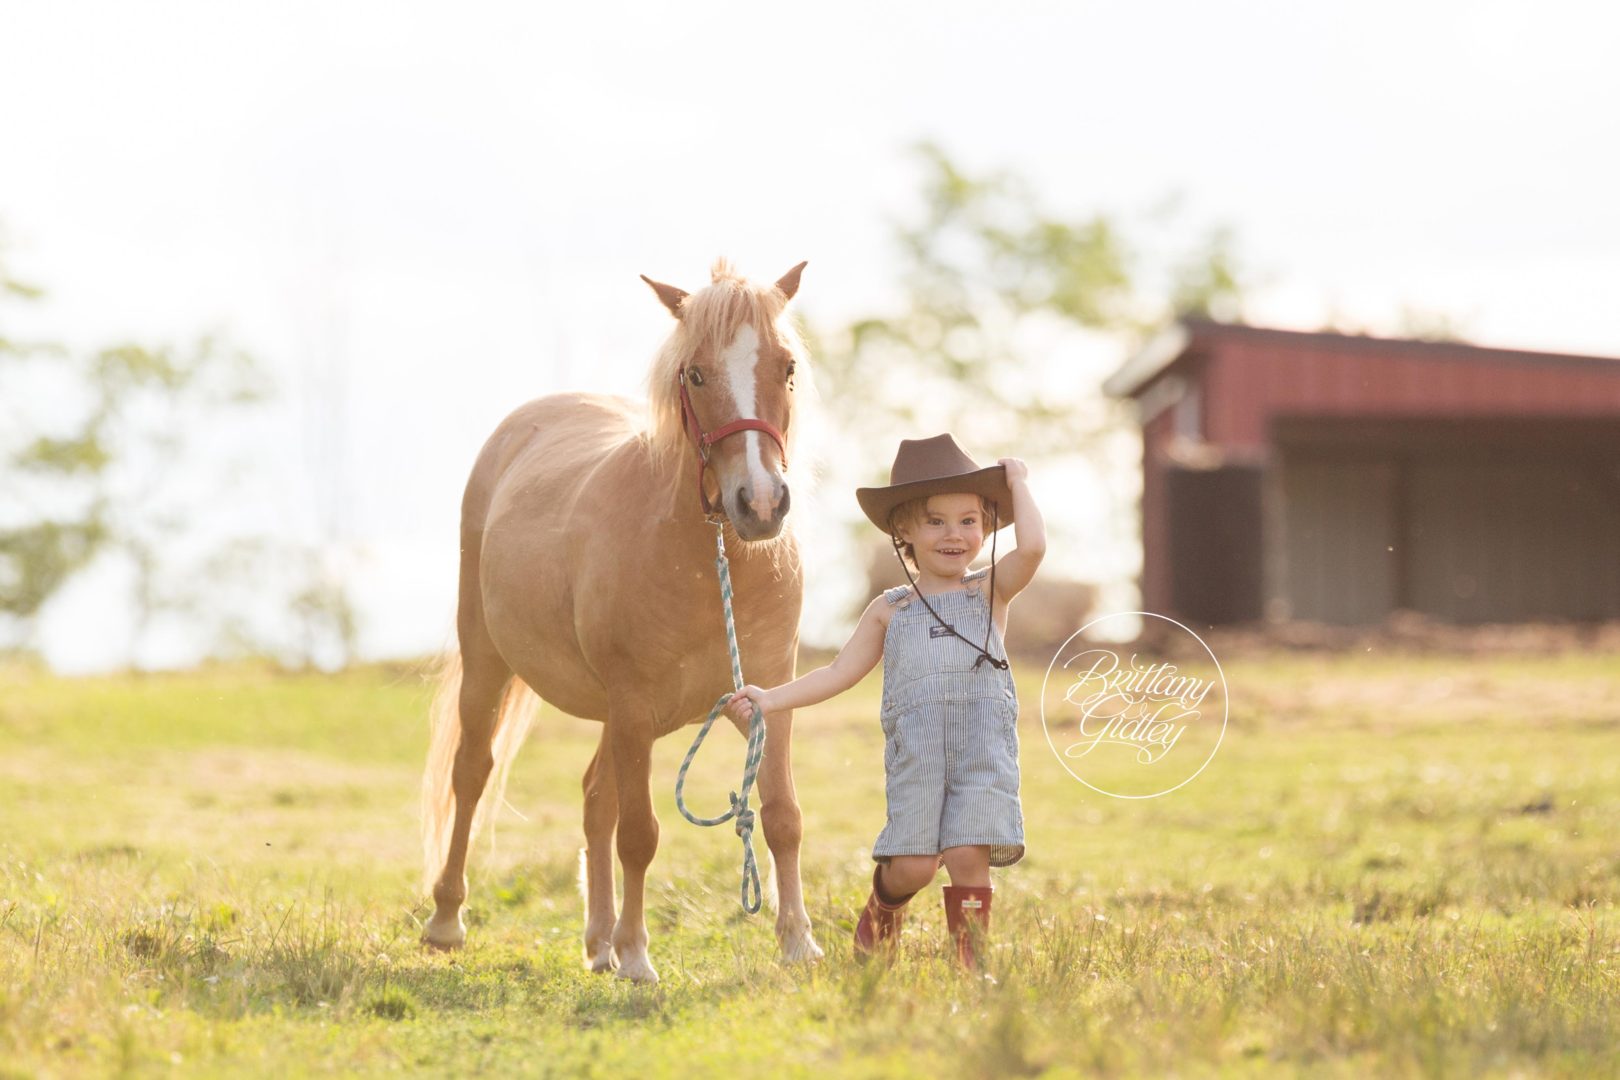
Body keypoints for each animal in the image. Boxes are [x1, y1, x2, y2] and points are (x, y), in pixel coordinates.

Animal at [419, 259, 823, 983]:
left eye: (787, 367)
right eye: (695, 373)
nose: (760, 504)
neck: (710, 561)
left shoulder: (768, 696)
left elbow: (781, 814)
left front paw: (797, 942)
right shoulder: (634, 707)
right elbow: (640, 833)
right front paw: (638, 954)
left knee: (593, 798)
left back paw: (598, 941)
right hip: (489, 663)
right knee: (473, 772)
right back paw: (448, 920)